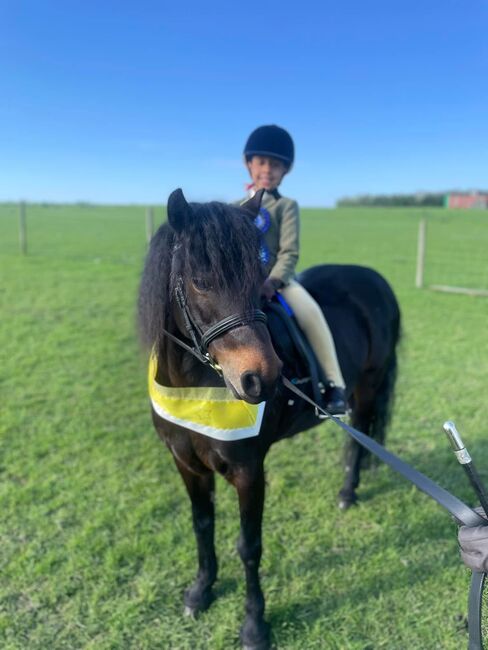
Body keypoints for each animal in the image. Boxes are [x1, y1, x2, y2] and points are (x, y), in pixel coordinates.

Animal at [137, 189, 401, 650]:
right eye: (200, 280)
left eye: (256, 278)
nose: (262, 377)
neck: (196, 386)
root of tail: (375, 279)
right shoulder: (187, 464)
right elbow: (202, 526)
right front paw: (200, 592)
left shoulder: (248, 471)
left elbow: (250, 546)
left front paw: (254, 625)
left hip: (368, 386)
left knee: (358, 435)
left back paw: (347, 492)